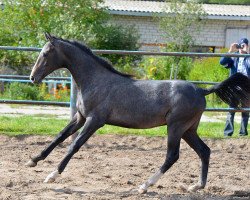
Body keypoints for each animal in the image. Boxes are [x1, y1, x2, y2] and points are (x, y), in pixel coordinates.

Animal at [25, 33, 250, 194]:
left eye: (45, 54)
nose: (32, 78)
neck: (95, 81)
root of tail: (202, 90)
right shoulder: (80, 117)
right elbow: (59, 137)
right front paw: (33, 160)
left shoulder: (95, 120)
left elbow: (73, 145)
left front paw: (52, 175)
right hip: (189, 130)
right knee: (204, 151)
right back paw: (197, 186)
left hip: (176, 127)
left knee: (173, 156)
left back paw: (144, 186)